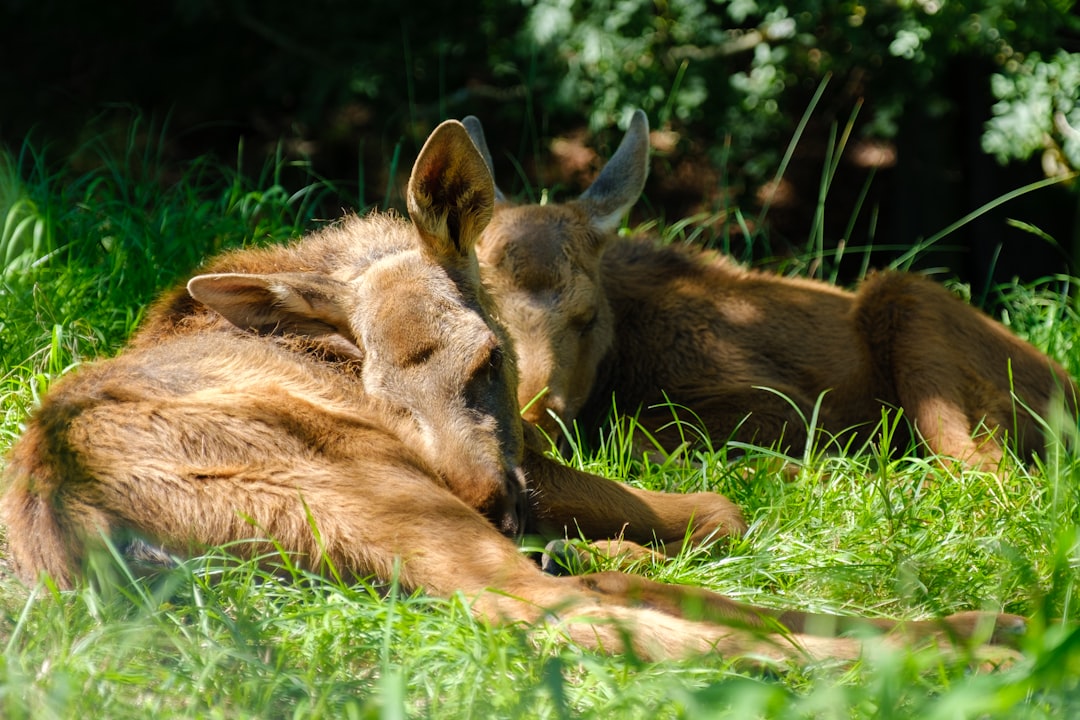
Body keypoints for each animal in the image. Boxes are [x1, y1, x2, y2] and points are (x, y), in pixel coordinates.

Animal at [2, 118, 1019, 664]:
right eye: (381, 394)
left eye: (486, 357)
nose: (491, 496)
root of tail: (82, 541)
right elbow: (721, 508)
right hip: (369, 493)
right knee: (557, 610)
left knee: (591, 591)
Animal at [466, 111, 1080, 472]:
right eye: (485, 310)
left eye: (588, 317)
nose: (534, 415)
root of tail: (1067, 389)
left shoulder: (785, 404)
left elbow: (635, 430)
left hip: (910, 304)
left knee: (987, 469)